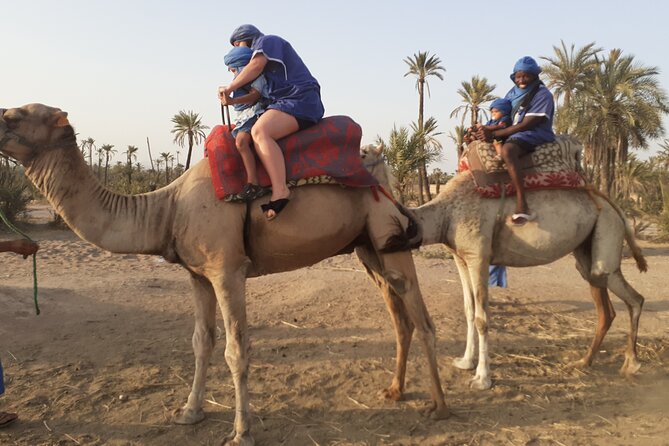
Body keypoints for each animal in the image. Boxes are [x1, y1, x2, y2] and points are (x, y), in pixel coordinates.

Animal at [0, 104, 449, 446]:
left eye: (17, 114)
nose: (0, 116)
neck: (168, 209)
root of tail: (381, 168)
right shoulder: (198, 275)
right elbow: (201, 342)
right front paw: (189, 412)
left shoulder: (227, 271)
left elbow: (237, 350)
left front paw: (242, 431)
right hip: (367, 247)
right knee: (398, 313)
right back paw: (394, 390)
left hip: (388, 233)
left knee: (421, 316)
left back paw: (439, 406)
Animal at [362, 143, 646, 390]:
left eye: (363, 153)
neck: (443, 215)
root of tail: (611, 204)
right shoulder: (461, 257)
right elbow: (468, 310)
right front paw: (465, 362)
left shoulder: (478, 255)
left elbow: (482, 318)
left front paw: (482, 378)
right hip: (586, 248)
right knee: (605, 305)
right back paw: (584, 361)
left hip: (607, 230)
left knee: (632, 296)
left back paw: (631, 364)